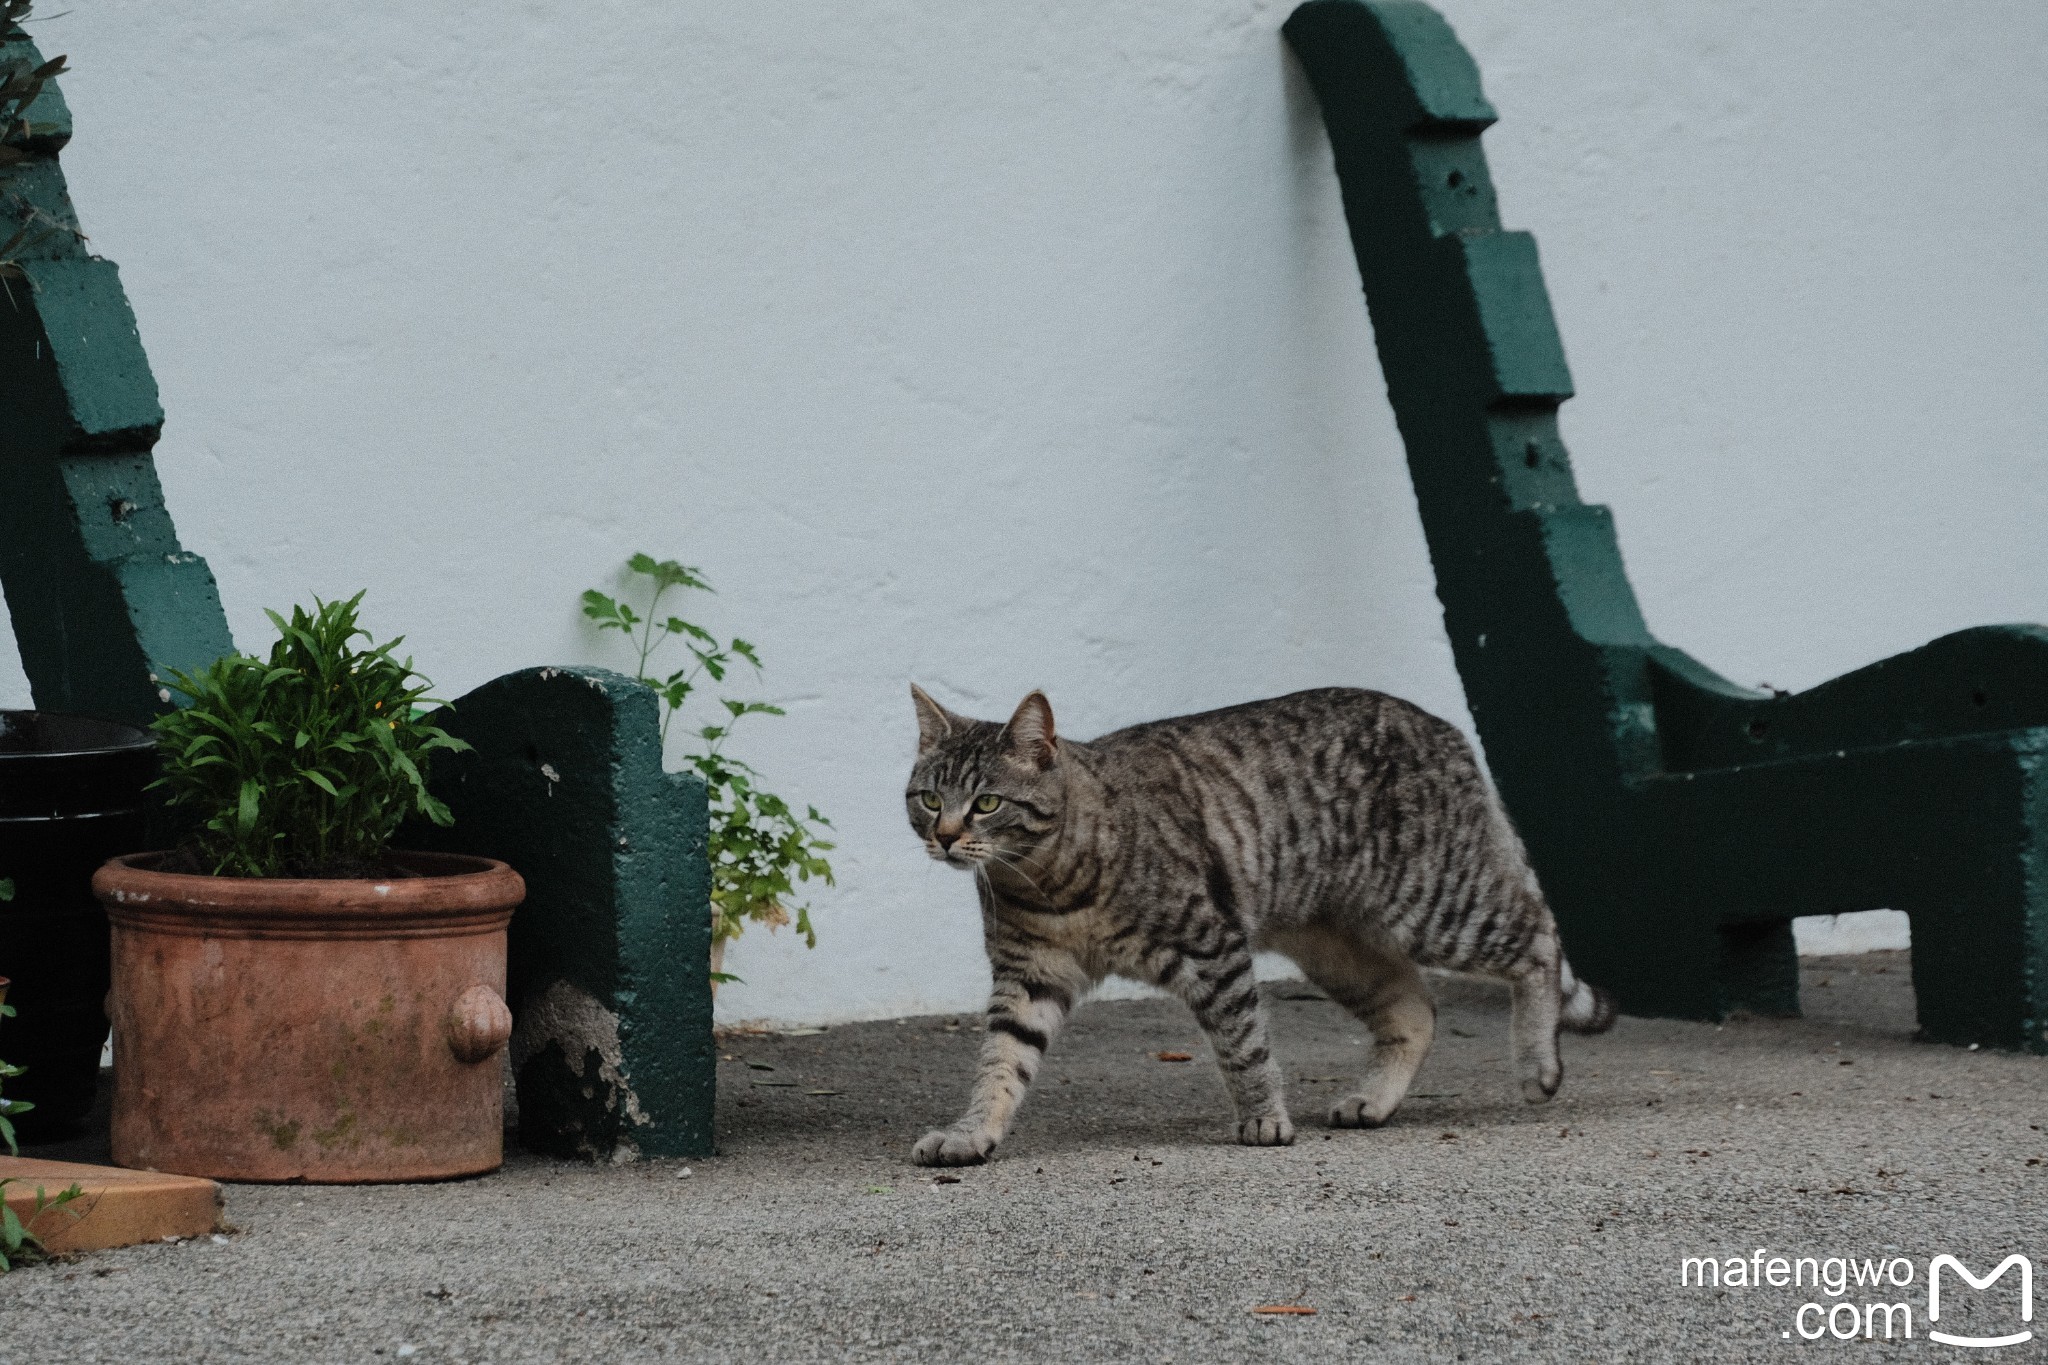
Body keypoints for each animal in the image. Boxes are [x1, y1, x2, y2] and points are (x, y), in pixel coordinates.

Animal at [905, 687, 1605, 1170]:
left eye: (987, 803)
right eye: (930, 799)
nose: (946, 837)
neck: (1045, 880)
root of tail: (1447, 728)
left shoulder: (1210, 946)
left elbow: (1243, 1045)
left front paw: (1265, 1120)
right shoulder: (1028, 977)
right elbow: (1001, 1063)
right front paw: (971, 1133)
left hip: (1435, 905)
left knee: (1538, 934)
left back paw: (1538, 1064)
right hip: (1339, 949)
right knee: (1416, 1010)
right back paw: (1373, 1100)